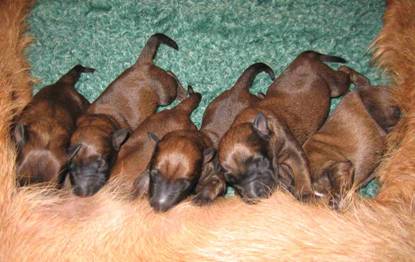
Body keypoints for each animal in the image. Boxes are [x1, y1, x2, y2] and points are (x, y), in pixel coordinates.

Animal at [68, 33, 182, 196]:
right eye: (71, 166)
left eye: (102, 164)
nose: (83, 193)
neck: (98, 118)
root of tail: (141, 64)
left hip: (165, 93)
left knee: (171, 75)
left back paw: (182, 93)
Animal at [218, 51, 352, 203]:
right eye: (231, 180)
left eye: (261, 162)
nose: (255, 196)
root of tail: (305, 56)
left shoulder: (294, 152)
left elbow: (301, 172)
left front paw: (305, 193)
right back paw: (261, 94)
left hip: (335, 85)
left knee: (344, 73)